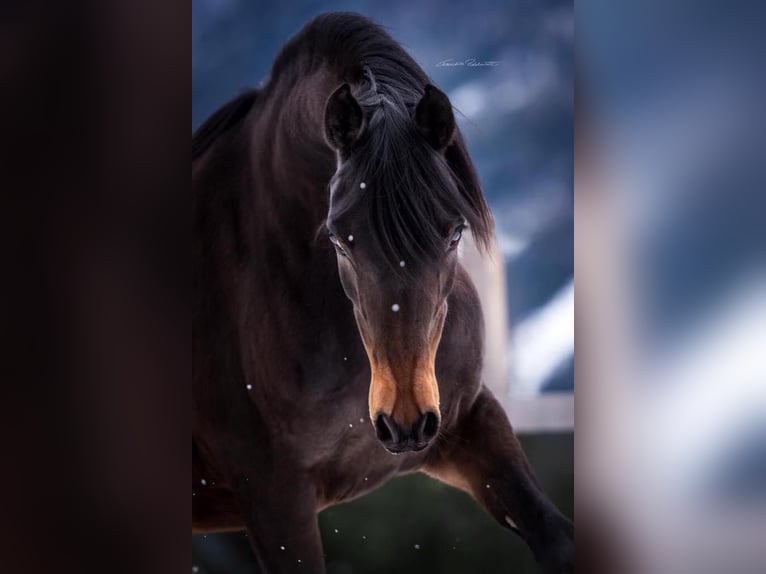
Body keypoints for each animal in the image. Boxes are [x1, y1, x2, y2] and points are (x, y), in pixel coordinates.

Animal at [193, 12, 573, 573]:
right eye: (337, 239)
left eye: (454, 233)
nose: (406, 422)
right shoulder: (272, 495)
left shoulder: (470, 424)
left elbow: (557, 537)